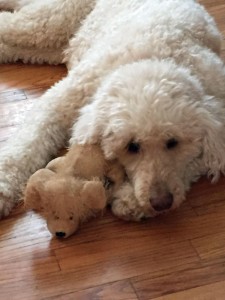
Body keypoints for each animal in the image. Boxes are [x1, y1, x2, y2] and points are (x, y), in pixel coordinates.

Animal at [0, 0, 225, 220]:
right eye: (132, 146)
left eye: (173, 142)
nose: (161, 202)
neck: (156, 58)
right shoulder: (63, 101)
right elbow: (28, 143)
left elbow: (200, 162)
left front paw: (129, 201)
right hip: (50, 22)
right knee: (10, 22)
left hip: (56, 45)